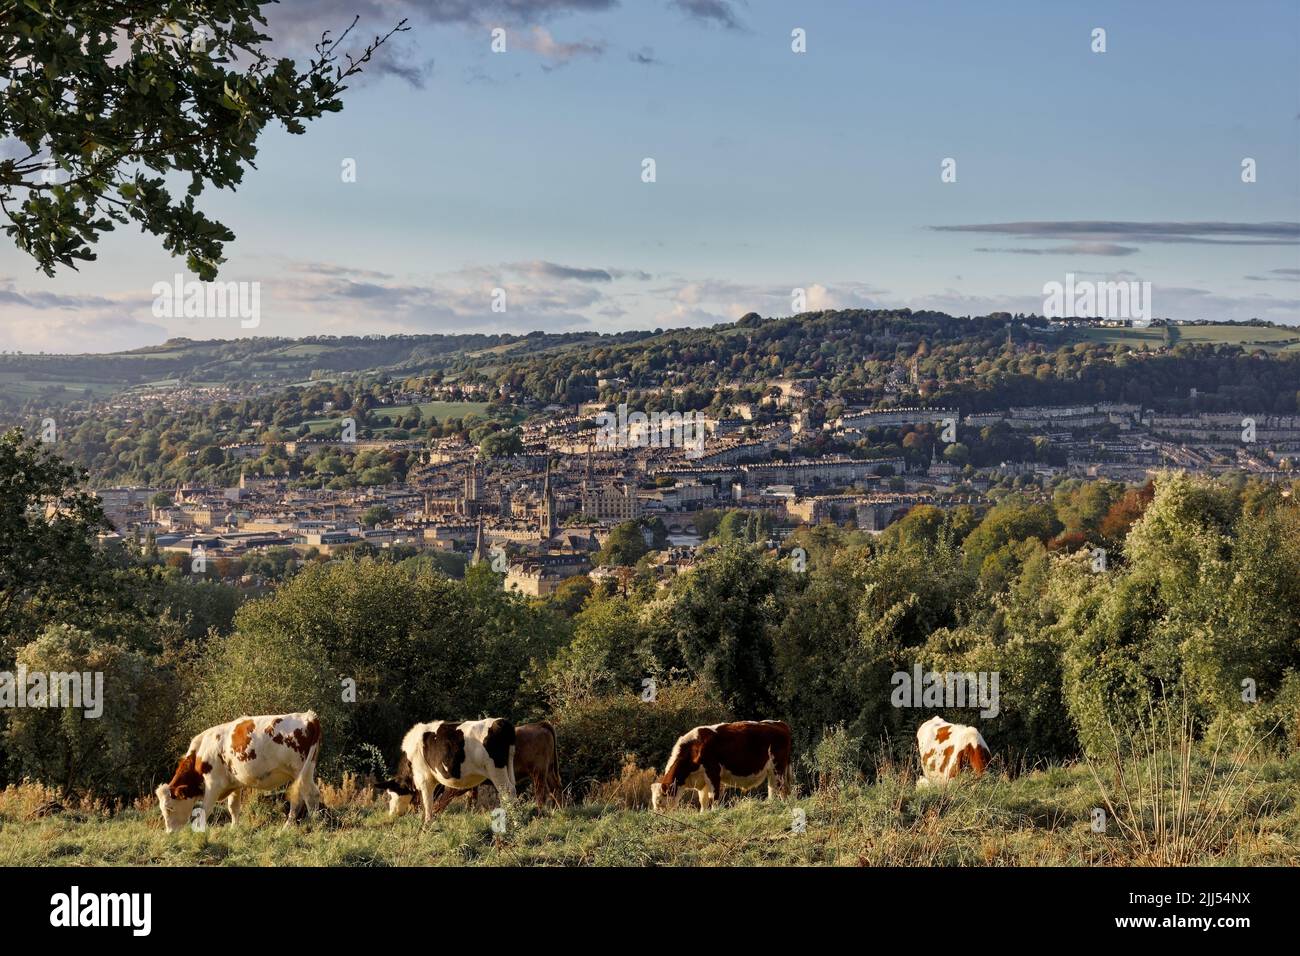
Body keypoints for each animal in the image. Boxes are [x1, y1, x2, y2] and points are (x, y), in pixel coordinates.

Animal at [154, 707, 322, 832]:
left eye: (169, 808)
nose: (169, 833)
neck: (201, 752)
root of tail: (308, 716)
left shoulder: (213, 784)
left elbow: (205, 809)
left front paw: (201, 830)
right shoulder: (234, 783)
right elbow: (233, 807)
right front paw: (234, 828)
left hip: (300, 770)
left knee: (308, 795)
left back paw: (307, 825)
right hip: (306, 770)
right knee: (307, 795)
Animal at [379, 717, 553, 816]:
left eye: (391, 794)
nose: (391, 814)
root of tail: (500, 722)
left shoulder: (424, 779)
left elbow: (428, 803)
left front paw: (426, 826)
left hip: (497, 770)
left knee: (507, 791)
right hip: (508, 767)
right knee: (512, 790)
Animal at [650, 723, 790, 811]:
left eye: (659, 801)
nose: (658, 816)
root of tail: (779, 724)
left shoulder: (713, 772)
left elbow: (714, 796)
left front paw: (714, 812)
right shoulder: (702, 780)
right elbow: (703, 800)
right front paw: (703, 814)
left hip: (778, 767)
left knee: (782, 788)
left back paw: (783, 804)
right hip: (771, 771)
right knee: (772, 788)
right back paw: (771, 804)